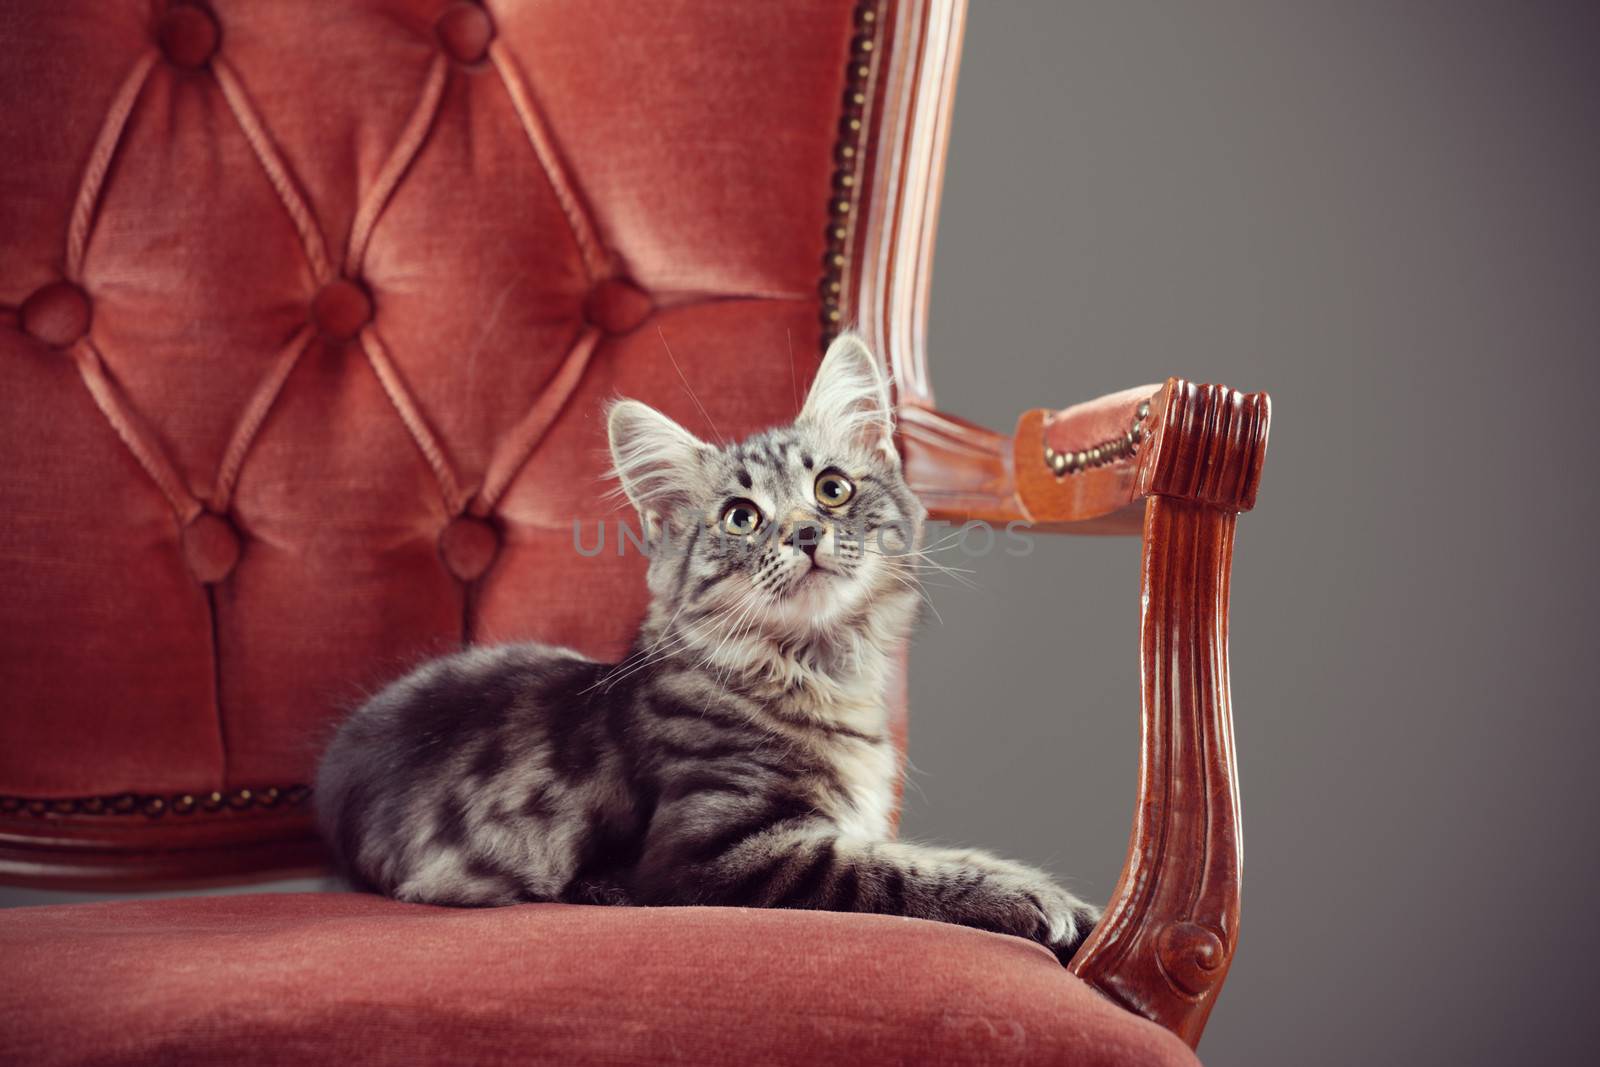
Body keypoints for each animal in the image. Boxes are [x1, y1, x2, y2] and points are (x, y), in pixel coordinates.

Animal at [318, 331, 1107, 959]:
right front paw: (1033, 898)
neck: (816, 669)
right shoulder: (717, 854)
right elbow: (901, 869)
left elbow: (916, 849)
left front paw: (1077, 907)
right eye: (741, 516)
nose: (805, 533)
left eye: (832, 489)